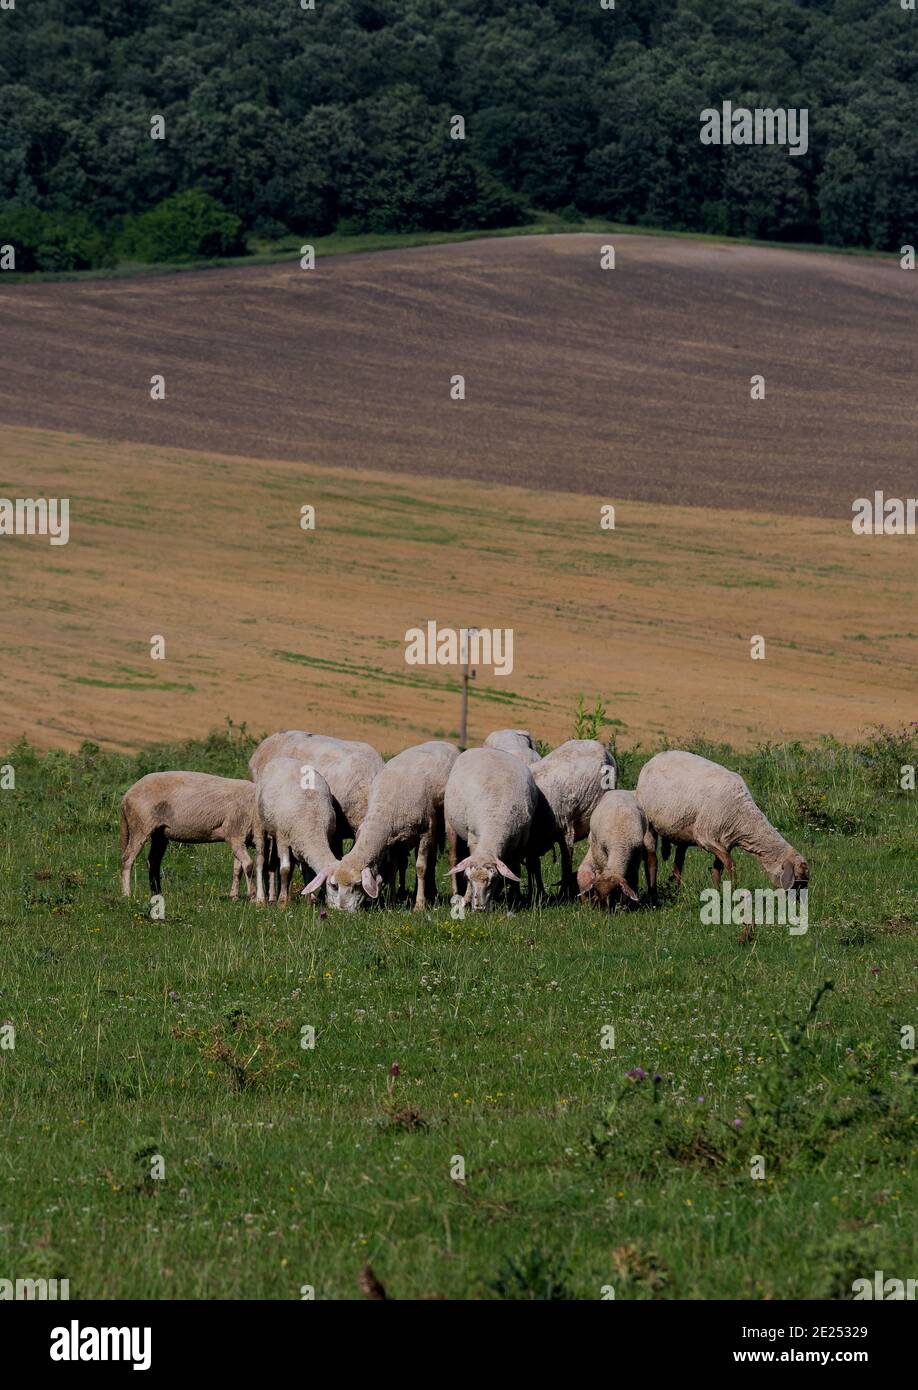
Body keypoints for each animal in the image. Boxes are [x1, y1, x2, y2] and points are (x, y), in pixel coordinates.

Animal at [119, 772, 255, 899]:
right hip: (140, 826)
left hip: (159, 833)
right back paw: (127, 894)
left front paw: (234, 896)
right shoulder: (236, 832)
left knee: (153, 861)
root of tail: (127, 796)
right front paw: (251, 896)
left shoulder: (241, 838)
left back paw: (157, 893)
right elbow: (247, 864)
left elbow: (237, 869)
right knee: (127, 859)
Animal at [252, 757, 338, 906]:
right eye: (334, 886)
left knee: (274, 862)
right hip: (261, 824)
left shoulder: (304, 842)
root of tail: (280, 758)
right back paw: (261, 899)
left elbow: (308, 871)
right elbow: (285, 870)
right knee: (260, 860)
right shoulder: (283, 839)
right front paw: (282, 902)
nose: (345, 911)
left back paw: (274, 896)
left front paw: (309, 901)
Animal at [326, 741, 460, 912]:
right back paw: (432, 893)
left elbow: (420, 867)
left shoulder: (425, 832)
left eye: (357, 885)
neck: (385, 810)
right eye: (336, 885)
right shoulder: (395, 840)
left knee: (452, 857)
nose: (342, 911)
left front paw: (419, 905)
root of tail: (448, 744)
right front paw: (391, 903)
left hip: (446, 819)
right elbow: (393, 869)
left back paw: (454, 895)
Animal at [444, 747, 539, 911]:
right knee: (454, 857)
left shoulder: (520, 842)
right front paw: (467, 898)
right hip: (451, 825)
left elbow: (515, 869)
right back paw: (456, 893)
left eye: (493, 880)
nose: (479, 909)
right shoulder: (474, 838)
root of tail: (484, 749)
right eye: (468, 879)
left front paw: (515, 898)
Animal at [635, 750, 809, 890]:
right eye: (799, 880)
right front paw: (734, 890)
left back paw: (679, 891)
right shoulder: (706, 837)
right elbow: (731, 865)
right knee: (652, 860)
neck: (743, 818)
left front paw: (718, 893)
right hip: (650, 823)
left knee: (678, 863)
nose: (798, 905)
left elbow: (717, 869)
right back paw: (654, 892)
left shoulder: (724, 841)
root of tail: (655, 757)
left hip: (681, 831)